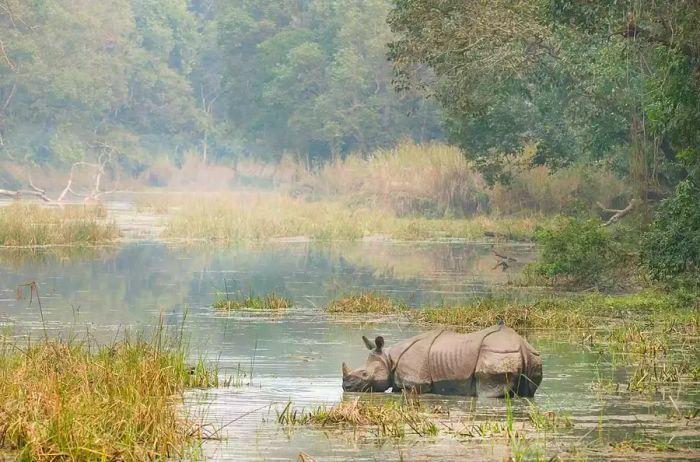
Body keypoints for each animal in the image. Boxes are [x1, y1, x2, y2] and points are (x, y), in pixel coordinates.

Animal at [342, 324, 544, 398]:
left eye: (364, 373)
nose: (346, 387)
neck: (389, 360)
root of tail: (522, 345)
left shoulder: (417, 382)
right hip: (530, 356)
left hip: (496, 352)